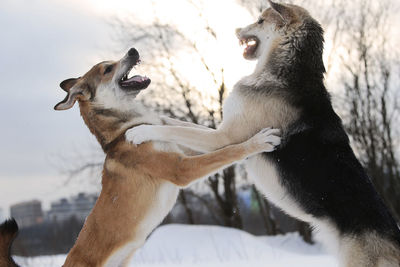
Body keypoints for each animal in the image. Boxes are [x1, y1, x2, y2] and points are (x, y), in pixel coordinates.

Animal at [127, 1, 400, 266]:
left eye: (260, 21)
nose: (236, 29)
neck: (288, 71)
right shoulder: (223, 130)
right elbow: (177, 122)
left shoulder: (223, 138)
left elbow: (173, 129)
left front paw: (141, 131)